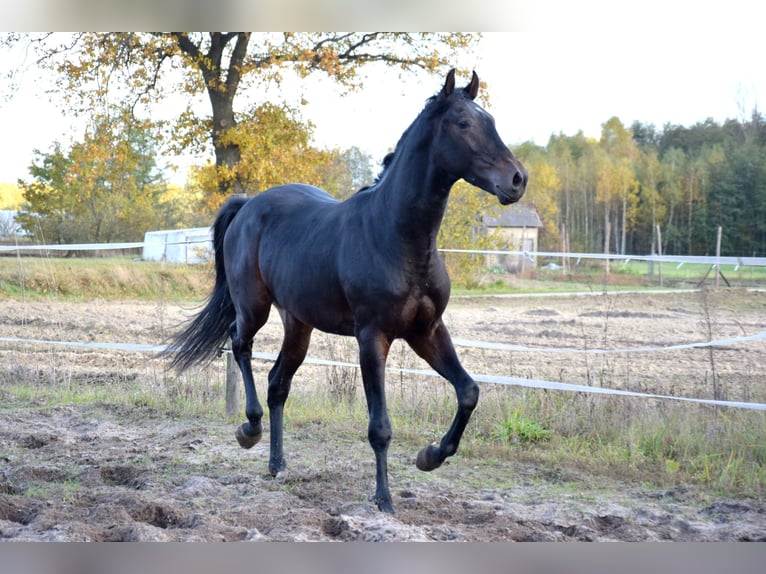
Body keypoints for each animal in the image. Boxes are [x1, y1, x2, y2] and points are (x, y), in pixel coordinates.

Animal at [167, 69, 528, 513]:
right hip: (254, 307)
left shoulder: (426, 331)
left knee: (277, 383)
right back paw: (248, 429)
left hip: (298, 325)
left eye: (490, 121)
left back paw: (277, 464)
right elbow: (380, 426)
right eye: (463, 123)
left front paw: (430, 456)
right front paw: (384, 499)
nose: (517, 180)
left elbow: (468, 392)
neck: (397, 234)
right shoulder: (372, 337)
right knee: (240, 344)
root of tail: (248, 205)